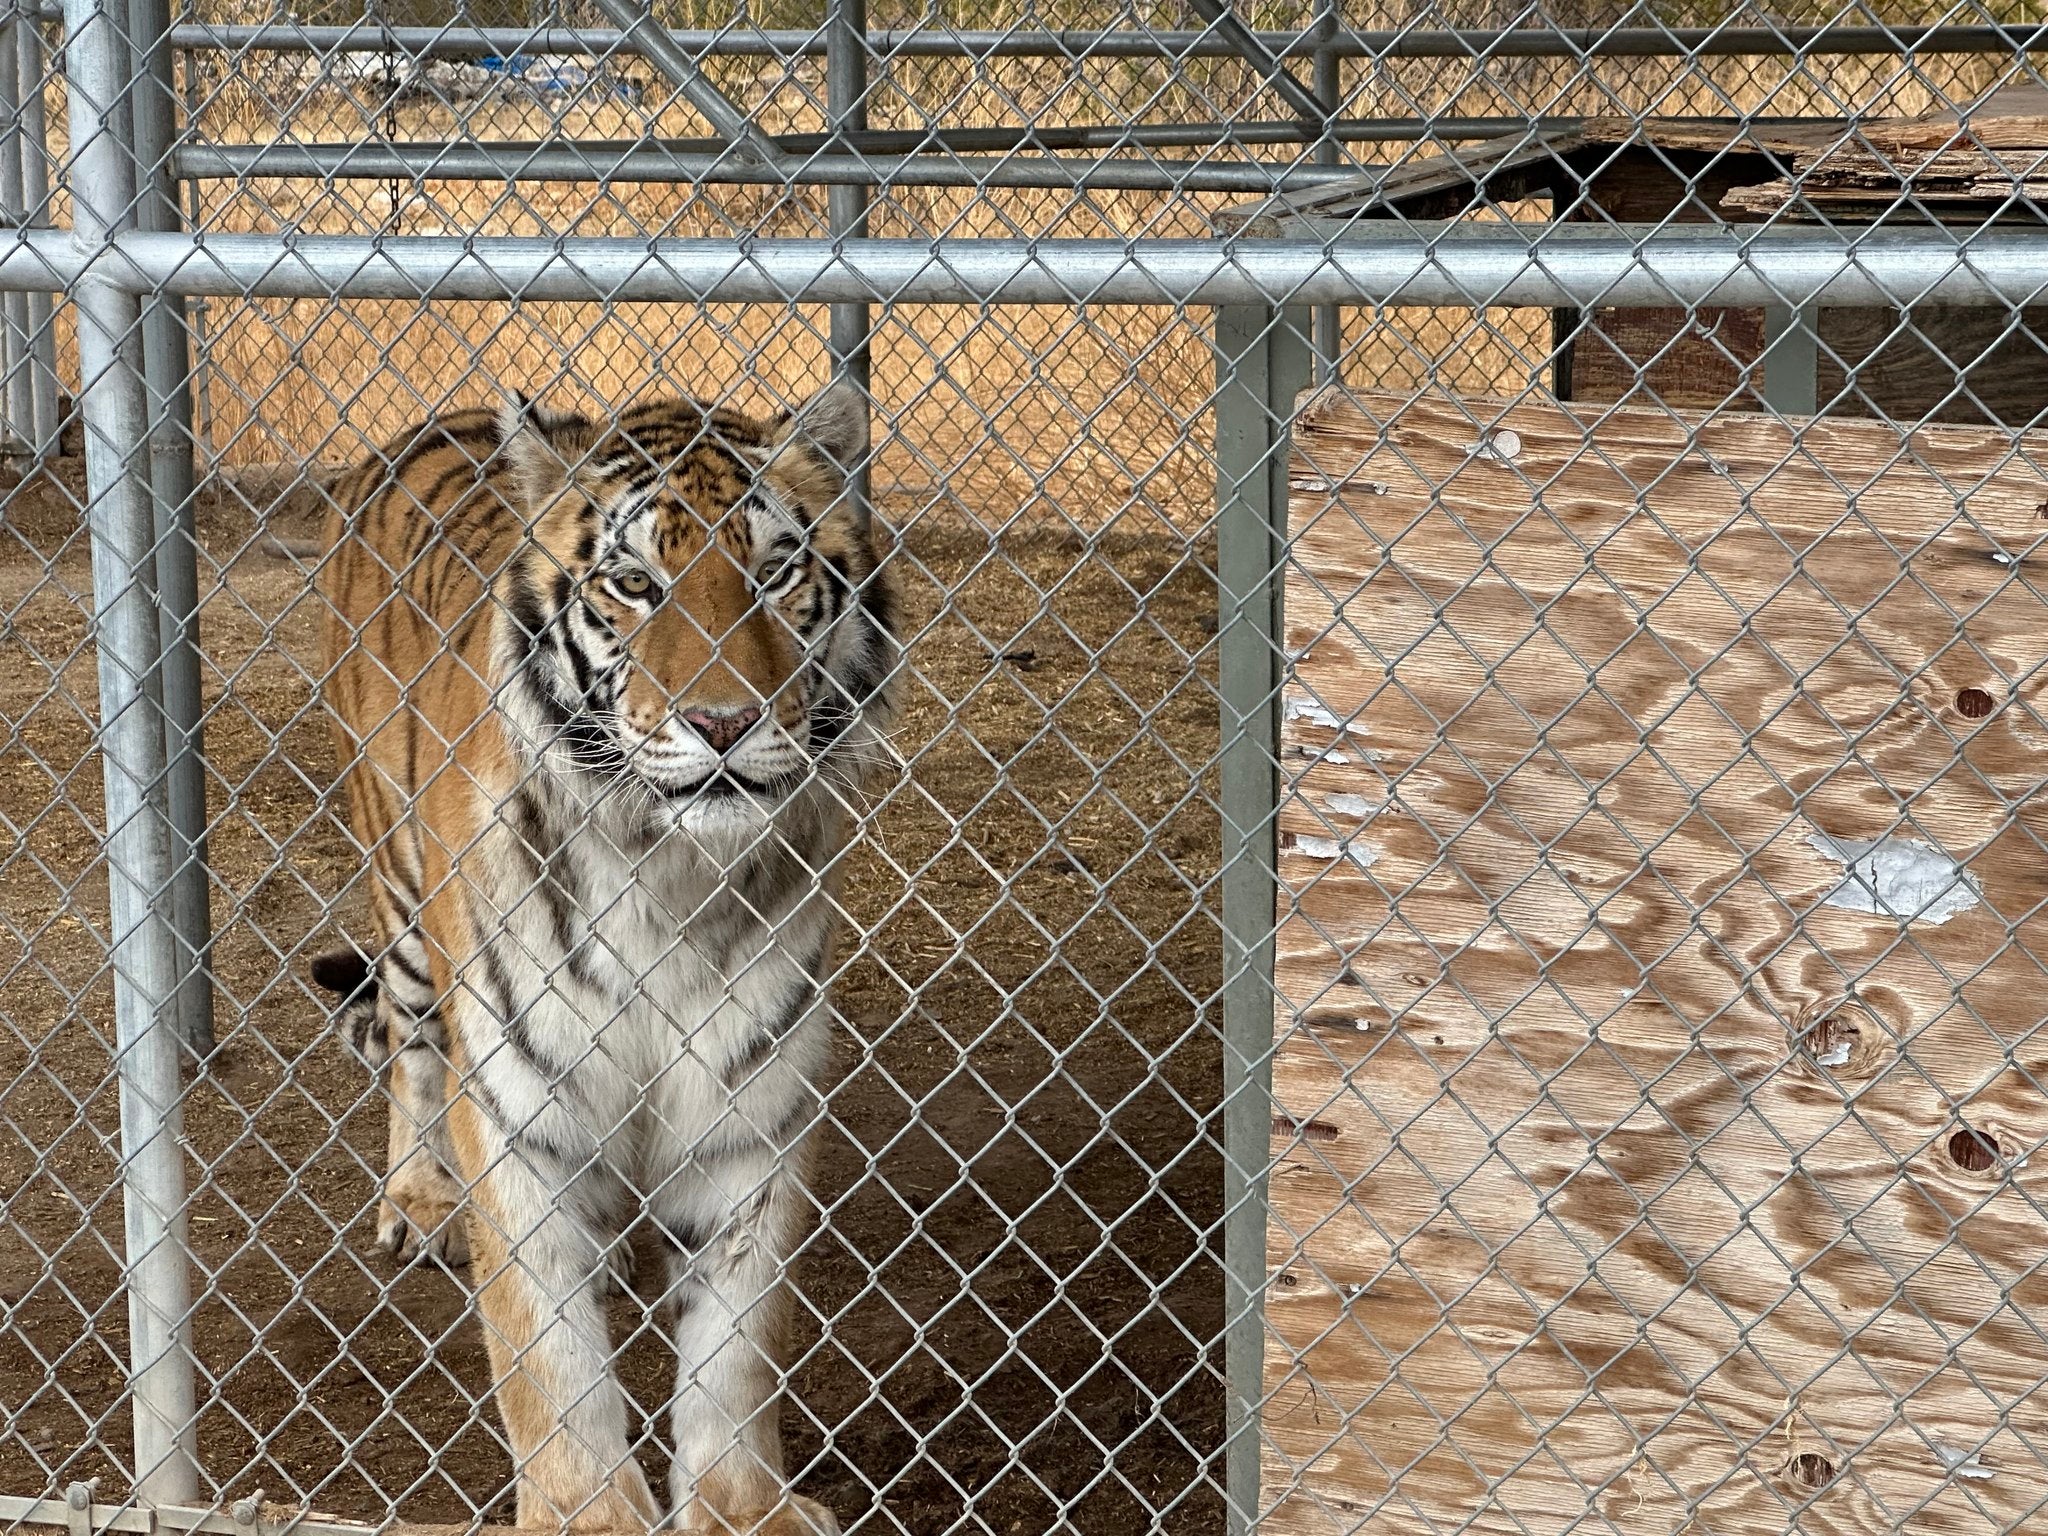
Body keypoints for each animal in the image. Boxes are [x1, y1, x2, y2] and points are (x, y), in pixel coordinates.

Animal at [308, 382, 895, 1536]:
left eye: (774, 572)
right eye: (634, 585)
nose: (723, 721)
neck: (665, 874)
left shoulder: (750, 1117)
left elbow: (736, 1352)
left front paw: (741, 1509)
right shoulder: (518, 1114)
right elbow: (547, 1354)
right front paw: (587, 1514)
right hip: (399, 896)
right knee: (411, 1047)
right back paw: (421, 1201)